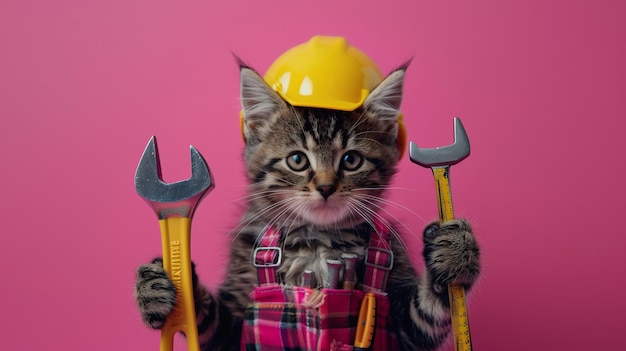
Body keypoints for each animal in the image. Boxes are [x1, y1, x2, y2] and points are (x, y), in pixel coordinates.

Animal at [134, 62, 480, 350]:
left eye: (351, 160)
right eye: (298, 160)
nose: (325, 187)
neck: (316, 240)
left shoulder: (406, 326)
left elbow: (427, 313)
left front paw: (454, 250)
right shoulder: (230, 325)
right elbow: (209, 321)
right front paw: (156, 287)